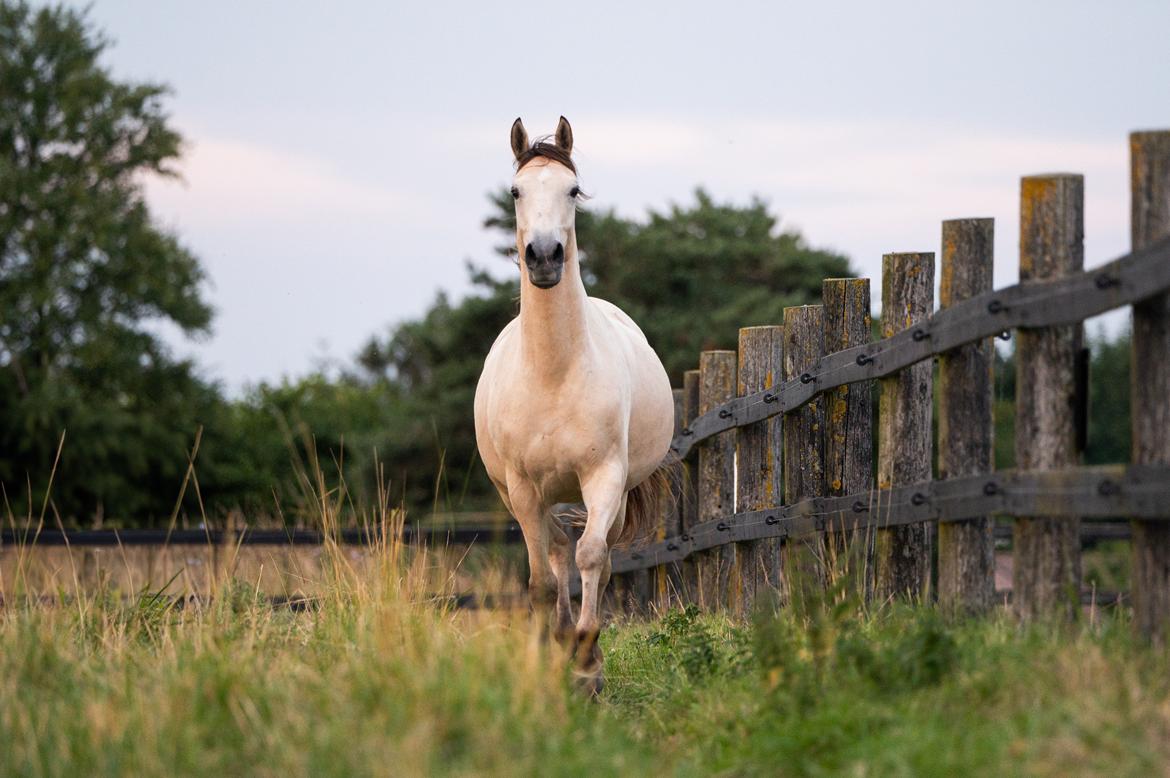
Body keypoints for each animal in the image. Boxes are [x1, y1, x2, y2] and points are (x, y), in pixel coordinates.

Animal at [475, 116, 678, 692]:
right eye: (516, 191)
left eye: (571, 189)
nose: (544, 257)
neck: (553, 372)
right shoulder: (523, 488)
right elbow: (542, 581)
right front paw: (553, 655)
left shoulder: (604, 476)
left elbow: (592, 558)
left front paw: (588, 663)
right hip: (528, 495)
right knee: (556, 555)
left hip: (610, 492)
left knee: (594, 559)